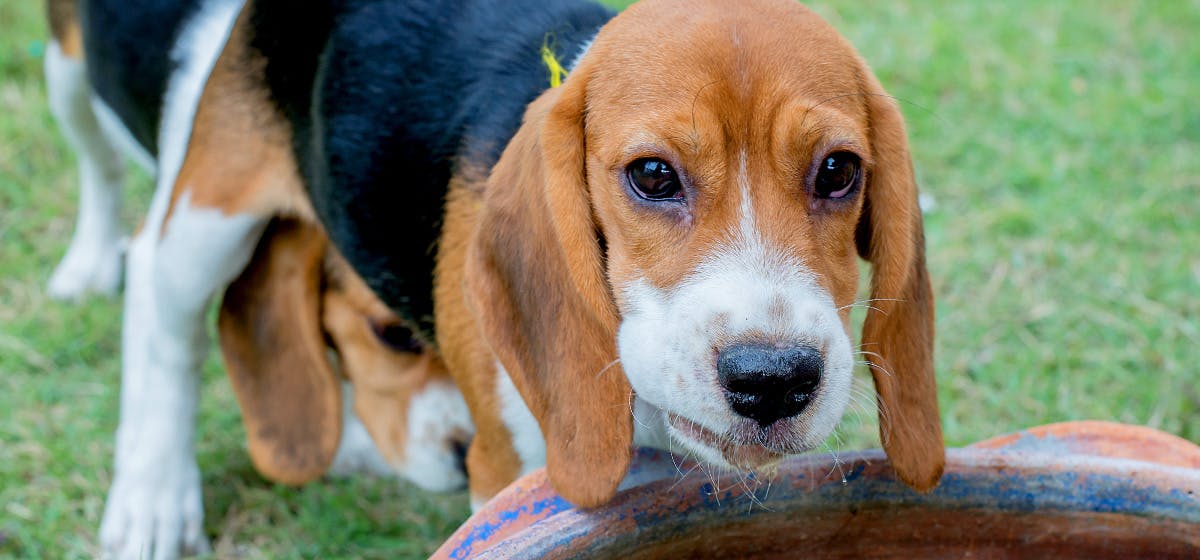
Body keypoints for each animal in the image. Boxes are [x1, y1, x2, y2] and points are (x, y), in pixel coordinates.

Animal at [49, 0, 945, 556]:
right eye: (653, 175)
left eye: (839, 171)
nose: (774, 380)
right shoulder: (510, 478)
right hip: (188, 195)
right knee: (151, 291)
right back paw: (150, 487)